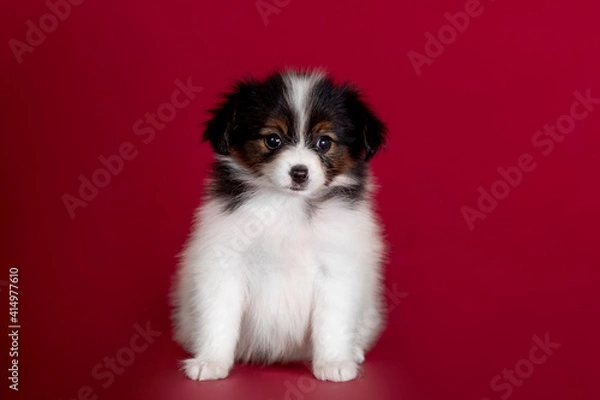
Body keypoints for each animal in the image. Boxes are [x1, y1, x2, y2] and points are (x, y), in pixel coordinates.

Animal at [172, 70, 390, 382]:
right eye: (273, 139)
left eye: (324, 142)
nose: (299, 173)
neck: (287, 204)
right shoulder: (225, 262)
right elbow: (219, 315)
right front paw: (211, 361)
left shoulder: (336, 268)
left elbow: (332, 320)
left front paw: (334, 361)